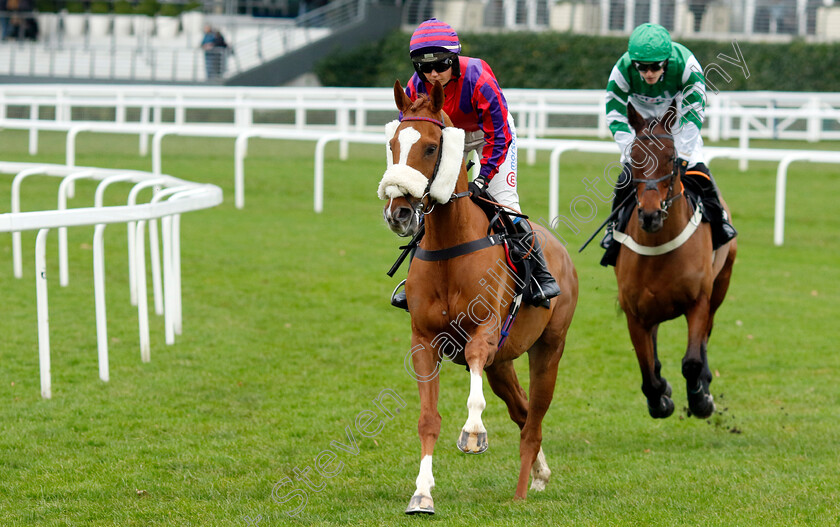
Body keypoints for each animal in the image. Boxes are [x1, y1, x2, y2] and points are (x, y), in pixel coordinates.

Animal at [380, 81, 576, 516]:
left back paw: (522, 490)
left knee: (534, 419)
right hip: (503, 362)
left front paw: (473, 433)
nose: (398, 212)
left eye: (431, 147)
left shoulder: (484, 332)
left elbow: (472, 363)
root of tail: (561, 250)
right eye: (392, 144)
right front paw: (422, 494)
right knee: (522, 411)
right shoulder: (424, 340)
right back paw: (539, 473)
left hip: (548, 348)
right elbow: (427, 419)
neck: (450, 247)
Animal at [616, 103, 736, 420]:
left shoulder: (698, 301)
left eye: (671, 158)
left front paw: (700, 399)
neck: (659, 250)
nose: (650, 214)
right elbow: (648, 373)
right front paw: (660, 398)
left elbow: (692, 361)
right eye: (634, 157)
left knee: (706, 336)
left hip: (722, 284)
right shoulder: (634, 313)